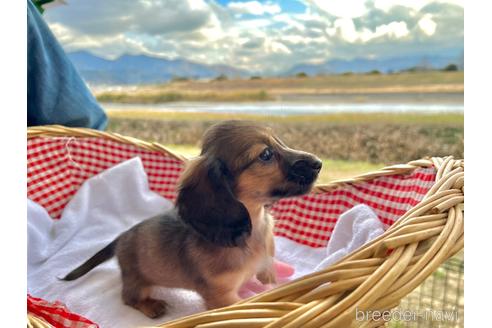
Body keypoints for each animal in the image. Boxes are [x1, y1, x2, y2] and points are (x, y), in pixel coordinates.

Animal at [61, 120, 322, 318]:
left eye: (281, 142)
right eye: (266, 154)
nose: (319, 163)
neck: (254, 227)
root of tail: (121, 237)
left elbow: (268, 271)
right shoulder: (222, 297)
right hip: (137, 279)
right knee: (128, 297)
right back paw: (151, 305)